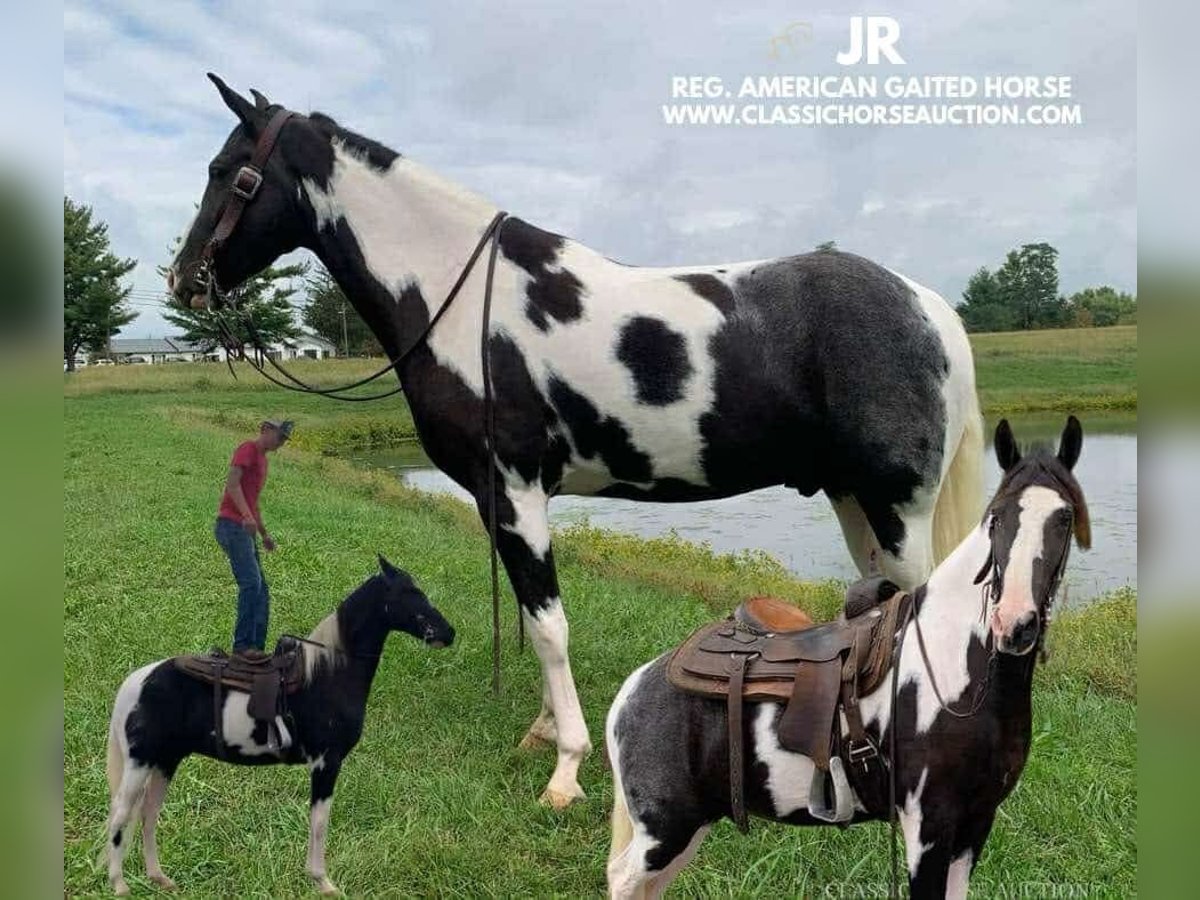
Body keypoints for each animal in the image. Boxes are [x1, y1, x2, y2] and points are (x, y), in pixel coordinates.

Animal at [100, 556, 451, 897]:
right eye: (411, 592)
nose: (449, 632)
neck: (328, 673)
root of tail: (137, 681)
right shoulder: (326, 762)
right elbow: (320, 822)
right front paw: (323, 882)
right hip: (140, 762)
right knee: (120, 816)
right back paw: (120, 885)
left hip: (165, 761)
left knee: (148, 815)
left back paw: (160, 878)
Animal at [174, 75, 988, 811]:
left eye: (225, 170)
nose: (185, 279)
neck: (461, 302)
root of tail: (929, 308)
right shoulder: (502, 501)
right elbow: (536, 619)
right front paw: (541, 730)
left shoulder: (517, 493)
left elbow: (550, 626)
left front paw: (566, 768)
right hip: (856, 503)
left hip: (894, 509)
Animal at [609, 420, 1089, 897]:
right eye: (996, 518)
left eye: (1064, 518)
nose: (1014, 623)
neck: (955, 670)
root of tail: (634, 689)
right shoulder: (929, 828)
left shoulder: (975, 824)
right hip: (665, 831)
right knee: (620, 878)